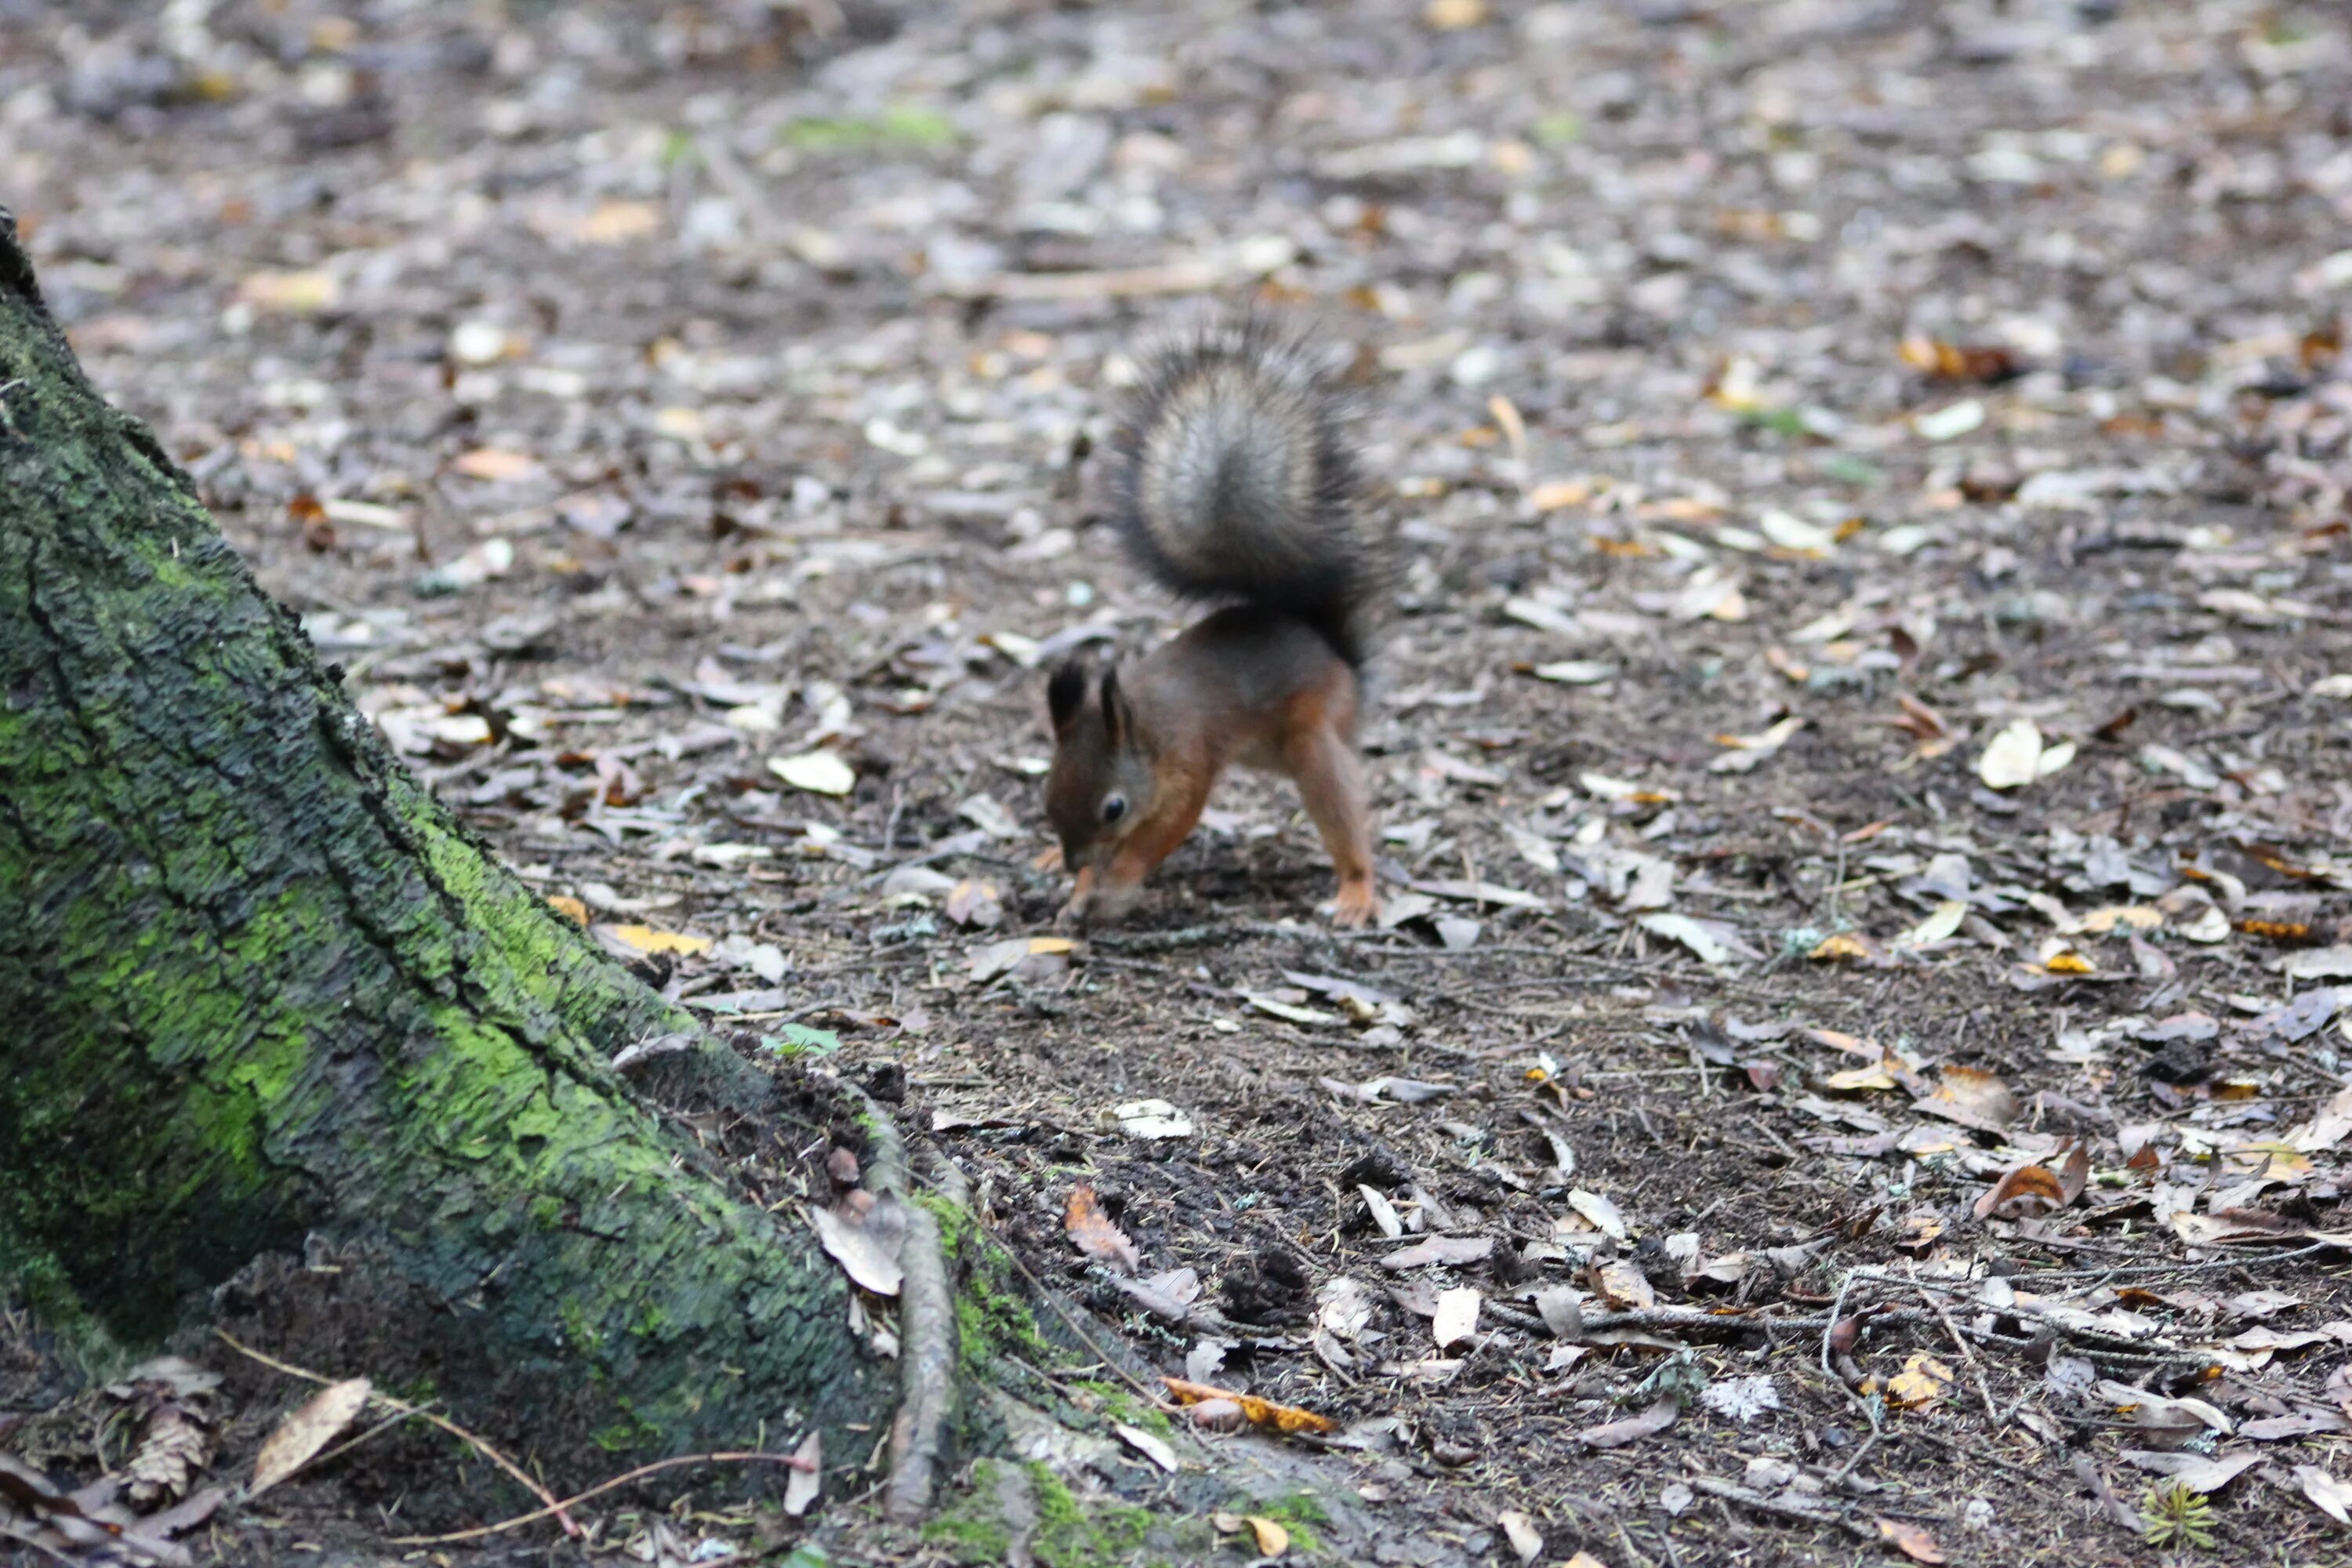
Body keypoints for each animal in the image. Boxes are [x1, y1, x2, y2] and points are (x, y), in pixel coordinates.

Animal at [1044, 321, 1374, 931]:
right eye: (1048, 790)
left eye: (1114, 807)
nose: (1074, 858)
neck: (1145, 724)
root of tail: (1333, 649)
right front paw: (1079, 890)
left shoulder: (1188, 766)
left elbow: (1162, 833)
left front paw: (1115, 884)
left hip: (1314, 732)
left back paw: (1357, 891)